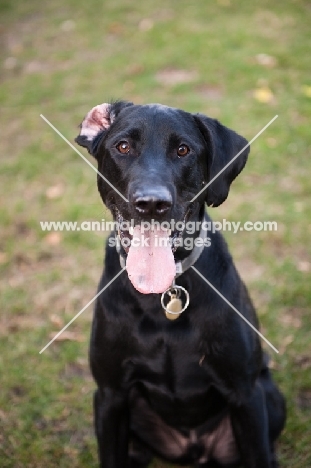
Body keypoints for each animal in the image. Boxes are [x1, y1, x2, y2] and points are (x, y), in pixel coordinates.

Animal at [75, 102, 286, 468]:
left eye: (183, 150)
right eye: (123, 146)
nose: (151, 203)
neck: (160, 295)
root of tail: (194, 448)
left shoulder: (245, 394)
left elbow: (257, 452)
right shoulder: (110, 395)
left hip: (270, 397)